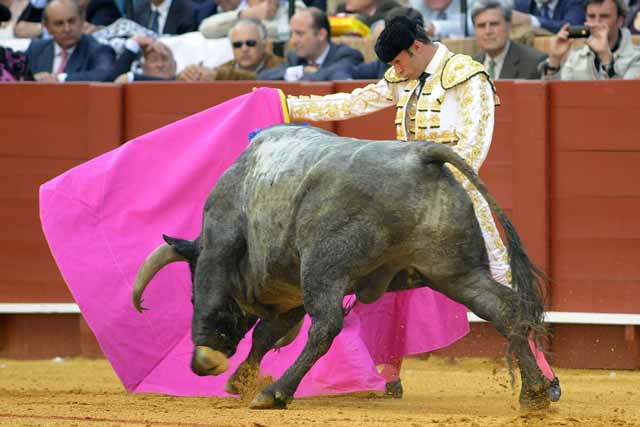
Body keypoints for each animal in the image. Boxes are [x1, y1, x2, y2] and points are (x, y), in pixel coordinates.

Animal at [134, 124, 556, 412]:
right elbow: (266, 335)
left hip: (325, 267)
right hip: (456, 272)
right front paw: (241, 378)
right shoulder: (290, 291)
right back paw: (534, 393)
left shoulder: (221, 243)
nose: (199, 365)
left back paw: (276, 392)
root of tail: (421, 155)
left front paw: (221, 365)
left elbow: (228, 305)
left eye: (189, 297)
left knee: (326, 326)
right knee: (505, 310)